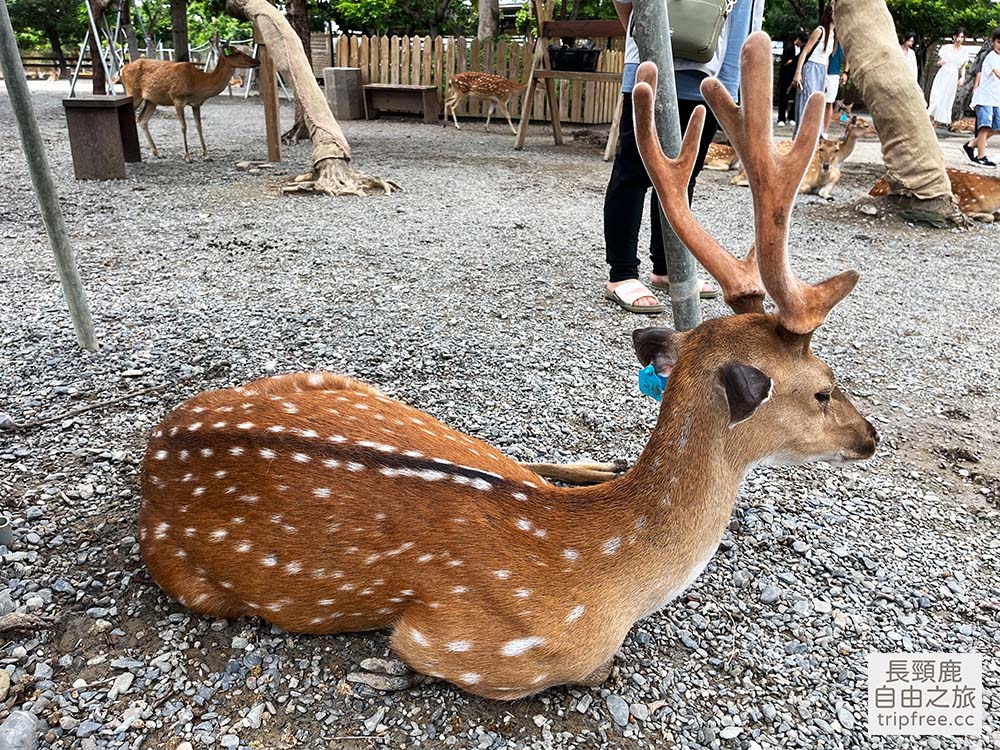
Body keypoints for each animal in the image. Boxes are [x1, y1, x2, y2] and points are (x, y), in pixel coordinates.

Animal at [121, 46, 259, 162]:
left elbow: (199, 126)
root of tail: (122, 69)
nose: (257, 61)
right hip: (133, 94)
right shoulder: (177, 98)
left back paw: (158, 153)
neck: (198, 83)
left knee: (142, 120)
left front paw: (206, 155)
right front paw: (187, 156)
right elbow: (183, 126)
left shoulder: (196, 104)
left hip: (151, 100)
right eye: (238, 52)